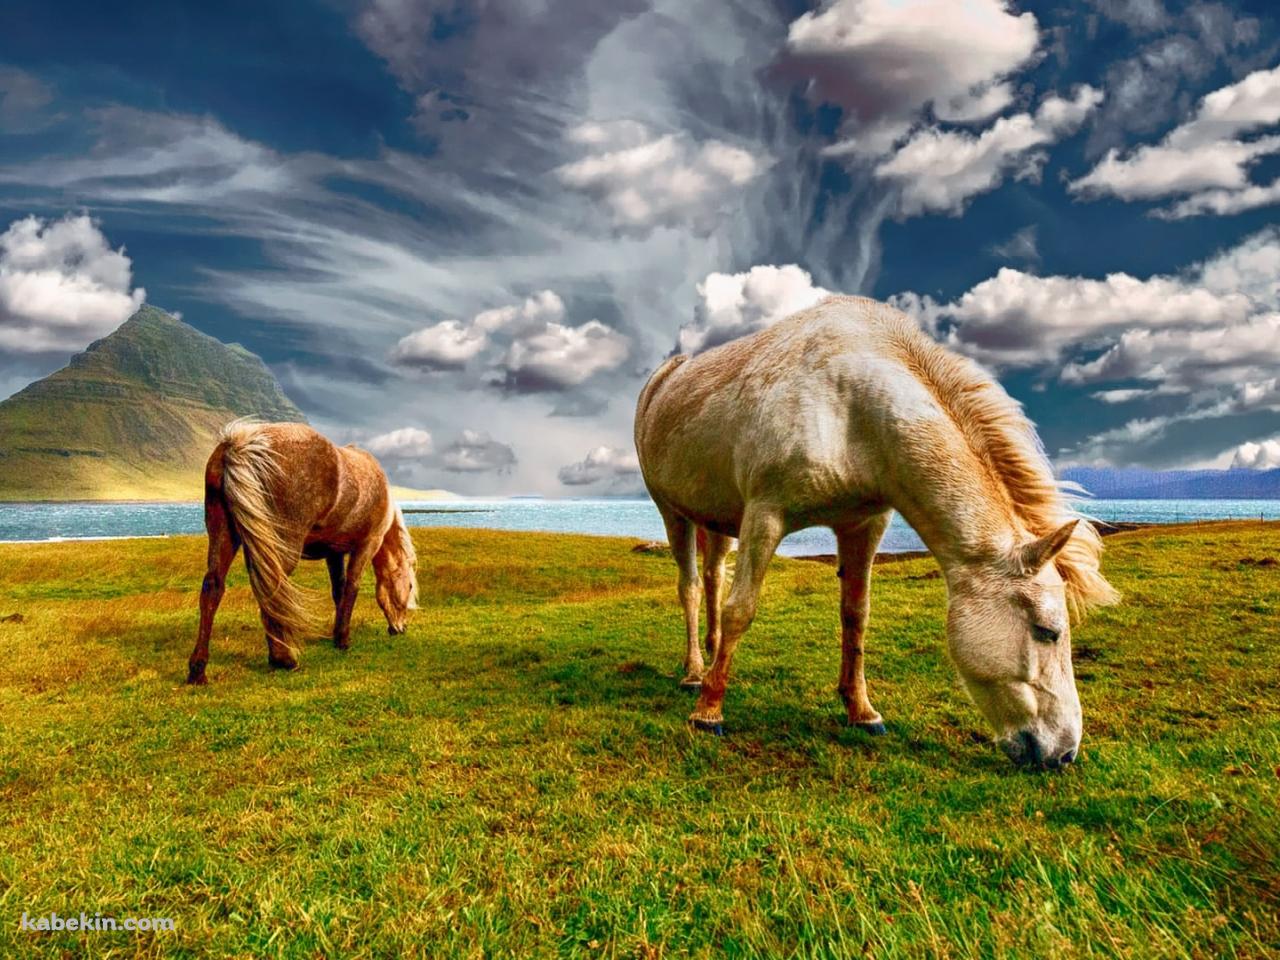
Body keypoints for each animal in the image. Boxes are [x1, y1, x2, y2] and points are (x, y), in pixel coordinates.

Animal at [185, 421, 418, 684]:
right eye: (409, 585)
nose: (400, 628)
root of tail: (242, 443)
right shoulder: (367, 545)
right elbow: (352, 588)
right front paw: (343, 639)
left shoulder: (334, 553)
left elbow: (338, 591)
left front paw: (336, 635)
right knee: (272, 589)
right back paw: (283, 659)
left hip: (224, 535)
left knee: (213, 587)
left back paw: (198, 670)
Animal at [634, 295, 1118, 769]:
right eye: (1047, 631)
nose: (1064, 753)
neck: (852, 408)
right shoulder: (764, 516)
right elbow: (742, 610)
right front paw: (709, 712)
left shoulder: (863, 525)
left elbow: (856, 617)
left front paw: (861, 710)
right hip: (673, 512)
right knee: (692, 587)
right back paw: (695, 673)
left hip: (718, 520)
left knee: (714, 577)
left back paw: (711, 657)